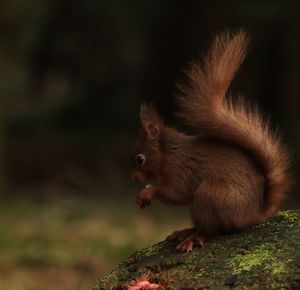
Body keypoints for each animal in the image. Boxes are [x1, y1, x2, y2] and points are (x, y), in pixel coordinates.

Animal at [130, 29, 292, 251]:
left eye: (140, 159)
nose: (133, 179)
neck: (169, 153)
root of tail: (252, 216)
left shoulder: (179, 170)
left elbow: (175, 193)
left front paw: (146, 193)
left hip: (210, 195)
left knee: (211, 229)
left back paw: (194, 238)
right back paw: (185, 232)